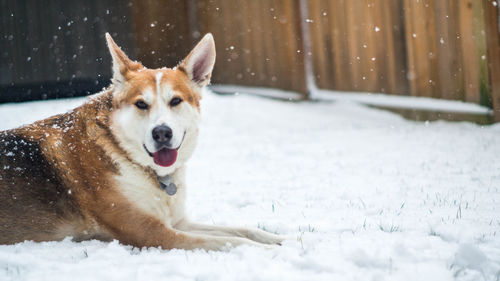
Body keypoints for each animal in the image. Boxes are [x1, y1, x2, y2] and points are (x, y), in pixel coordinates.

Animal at [0, 32, 282, 249]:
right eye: (141, 104)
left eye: (175, 101)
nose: (162, 133)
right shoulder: (154, 233)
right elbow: (231, 241)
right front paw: (266, 252)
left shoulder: (178, 222)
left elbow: (242, 230)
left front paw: (276, 239)